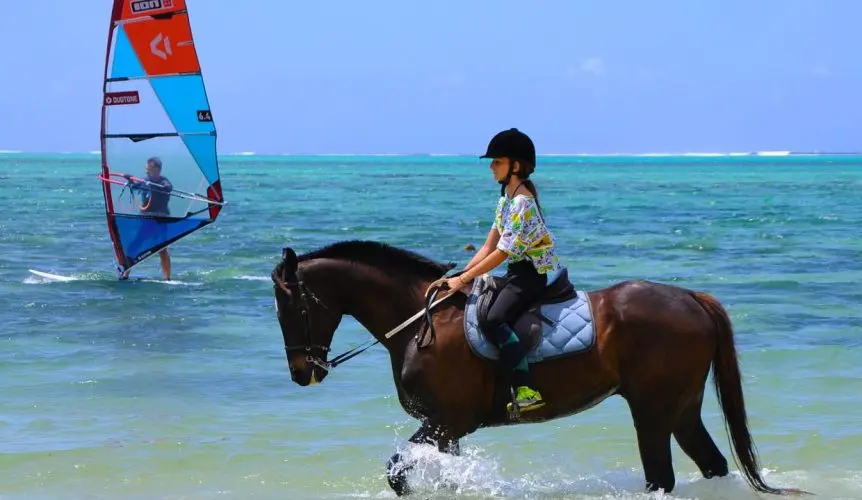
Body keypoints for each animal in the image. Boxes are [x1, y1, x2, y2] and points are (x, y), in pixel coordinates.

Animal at [269, 239, 807, 497]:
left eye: (291, 306)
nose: (302, 372)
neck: (423, 320)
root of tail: (693, 299)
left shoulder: (448, 421)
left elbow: (397, 472)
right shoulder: (447, 430)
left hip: (652, 410)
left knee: (661, 477)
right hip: (682, 408)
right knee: (711, 465)